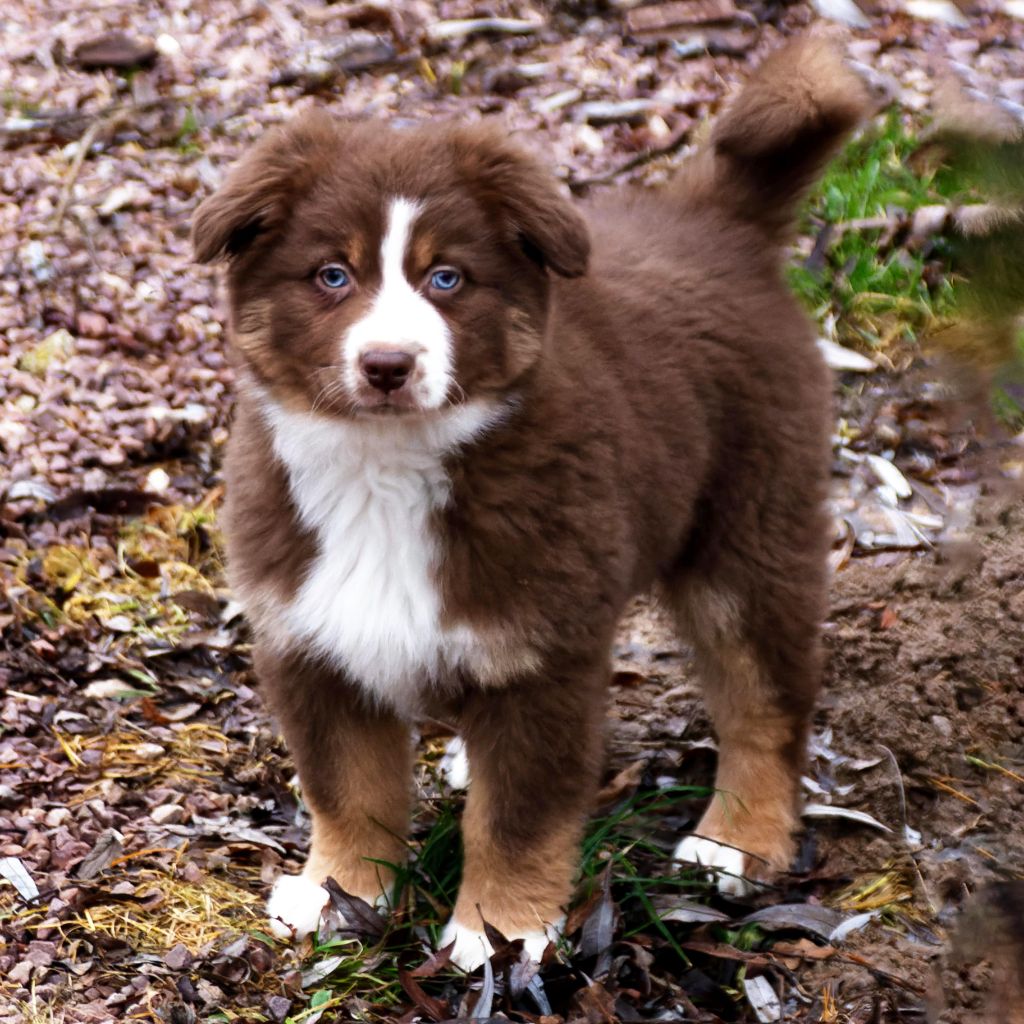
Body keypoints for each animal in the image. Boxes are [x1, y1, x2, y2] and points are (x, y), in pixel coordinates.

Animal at [193, 37, 872, 966]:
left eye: (447, 278)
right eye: (332, 274)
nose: (388, 364)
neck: (386, 471)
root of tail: (716, 221)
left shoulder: (542, 660)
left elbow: (518, 815)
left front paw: (500, 934)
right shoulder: (312, 643)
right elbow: (346, 788)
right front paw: (341, 895)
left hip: (748, 528)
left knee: (765, 696)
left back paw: (739, 838)